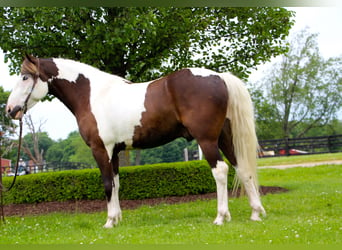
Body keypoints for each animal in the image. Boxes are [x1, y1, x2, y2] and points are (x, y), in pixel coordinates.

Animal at [6, 55, 268, 229]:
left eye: (25, 77)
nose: (10, 110)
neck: (92, 95)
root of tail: (219, 77)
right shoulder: (114, 152)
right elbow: (116, 183)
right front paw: (117, 218)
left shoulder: (100, 149)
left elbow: (107, 184)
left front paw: (109, 222)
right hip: (225, 137)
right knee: (242, 169)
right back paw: (256, 213)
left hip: (207, 140)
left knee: (221, 171)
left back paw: (221, 217)